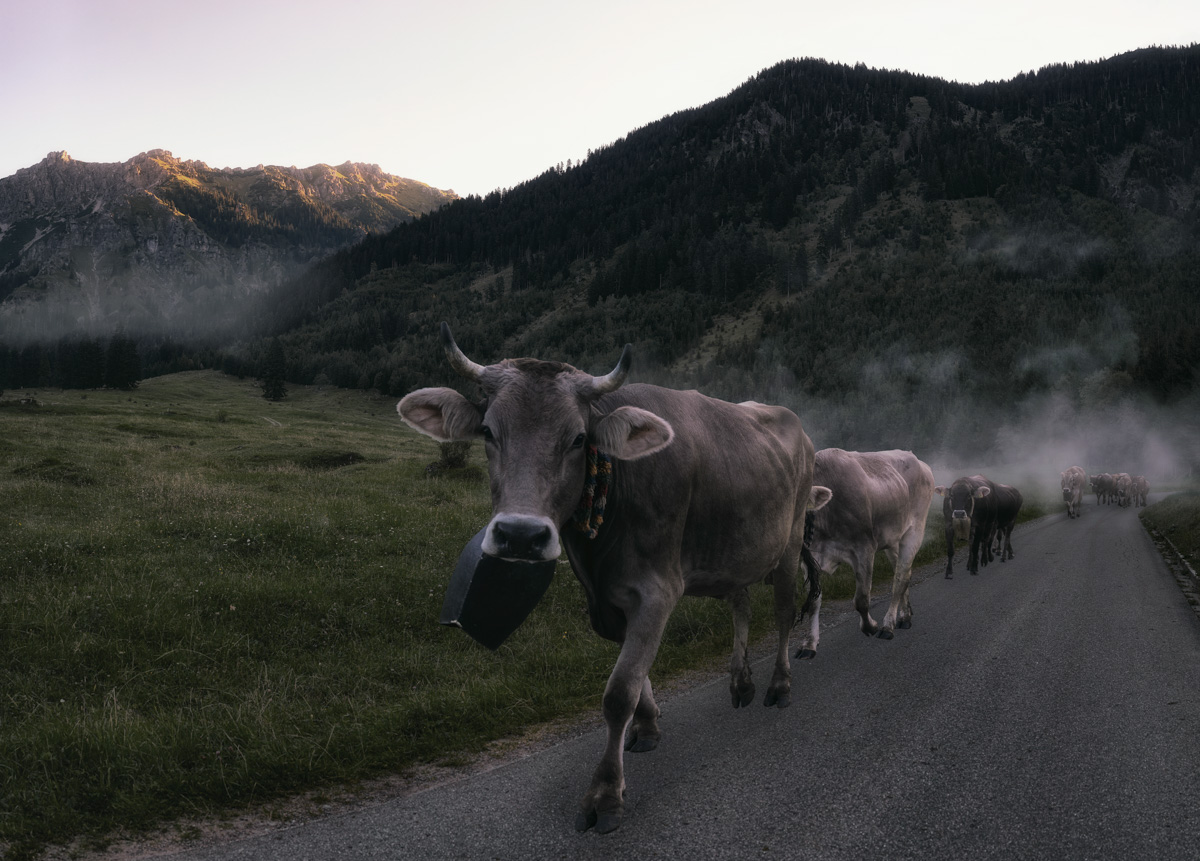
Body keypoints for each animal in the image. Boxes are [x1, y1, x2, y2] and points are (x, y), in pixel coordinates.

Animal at [397, 324, 830, 834]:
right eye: (487, 431)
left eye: (579, 438)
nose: (520, 535)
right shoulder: (606, 598)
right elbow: (636, 675)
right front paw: (647, 727)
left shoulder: (656, 590)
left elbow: (619, 690)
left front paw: (605, 793)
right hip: (734, 556)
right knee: (740, 607)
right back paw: (740, 683)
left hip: (788, 544)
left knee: (782, 613)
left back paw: (778, 686)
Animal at [794, 449, 935, 659]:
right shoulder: (810, 559)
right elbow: (813, 602)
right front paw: (809, 644)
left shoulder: (864, 548)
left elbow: (861, 599)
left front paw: (871, 626)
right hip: (893, 539)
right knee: (903, 573)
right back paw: (905, 615)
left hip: (914, 531)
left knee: (900, 578)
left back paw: (888, 625)